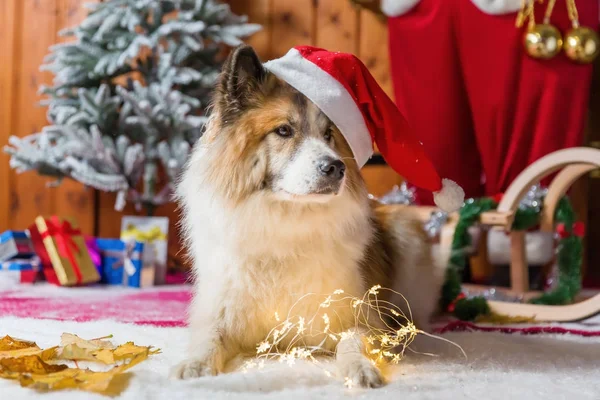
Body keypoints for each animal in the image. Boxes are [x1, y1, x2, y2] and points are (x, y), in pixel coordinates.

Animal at [171, 46, 442, 388]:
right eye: (284, 131)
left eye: (328, 135)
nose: (336, 168)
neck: (285, 222)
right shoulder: (222, 310)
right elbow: (209, 337)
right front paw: (194, 365)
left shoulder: (358, 314)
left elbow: (353, 342)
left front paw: (361, 369)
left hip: (406, 235)